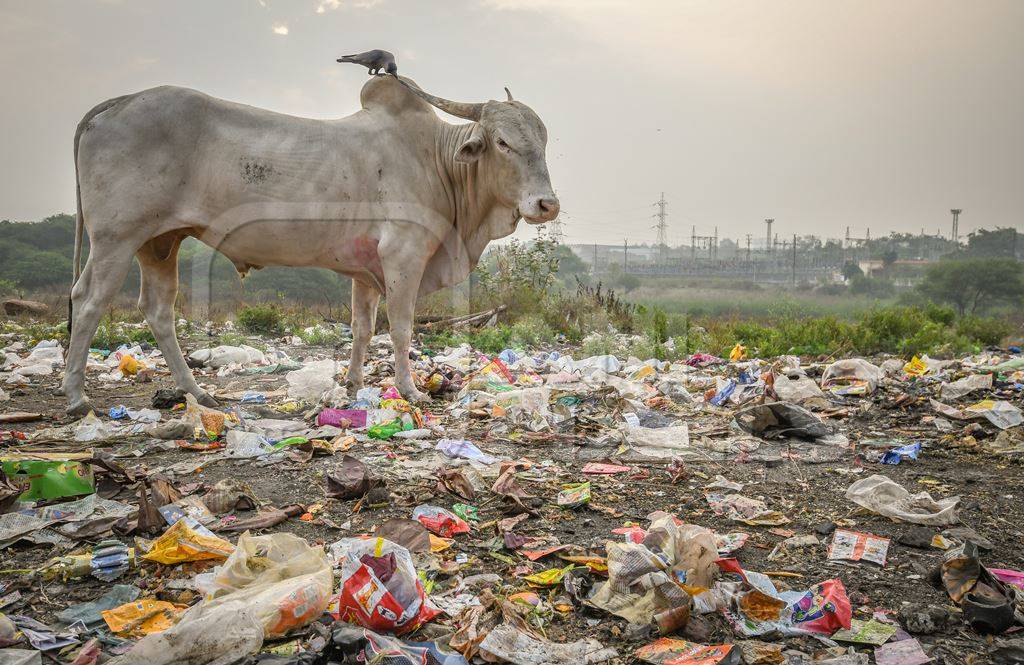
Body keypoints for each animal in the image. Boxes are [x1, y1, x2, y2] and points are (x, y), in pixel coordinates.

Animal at [61, 76, 561, 409]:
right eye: (502, 142)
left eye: (543, 142)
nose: (547, 204)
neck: (438, 161)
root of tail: (120, 102)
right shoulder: (403, 255)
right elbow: (401, 328)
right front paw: (410, 390)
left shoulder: (366, 267)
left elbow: (363, 329)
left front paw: (353, 387)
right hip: (115, 238)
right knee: (87, 301)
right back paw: (76, 394)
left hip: (158, 243)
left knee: (158, 310)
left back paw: (197, 391)